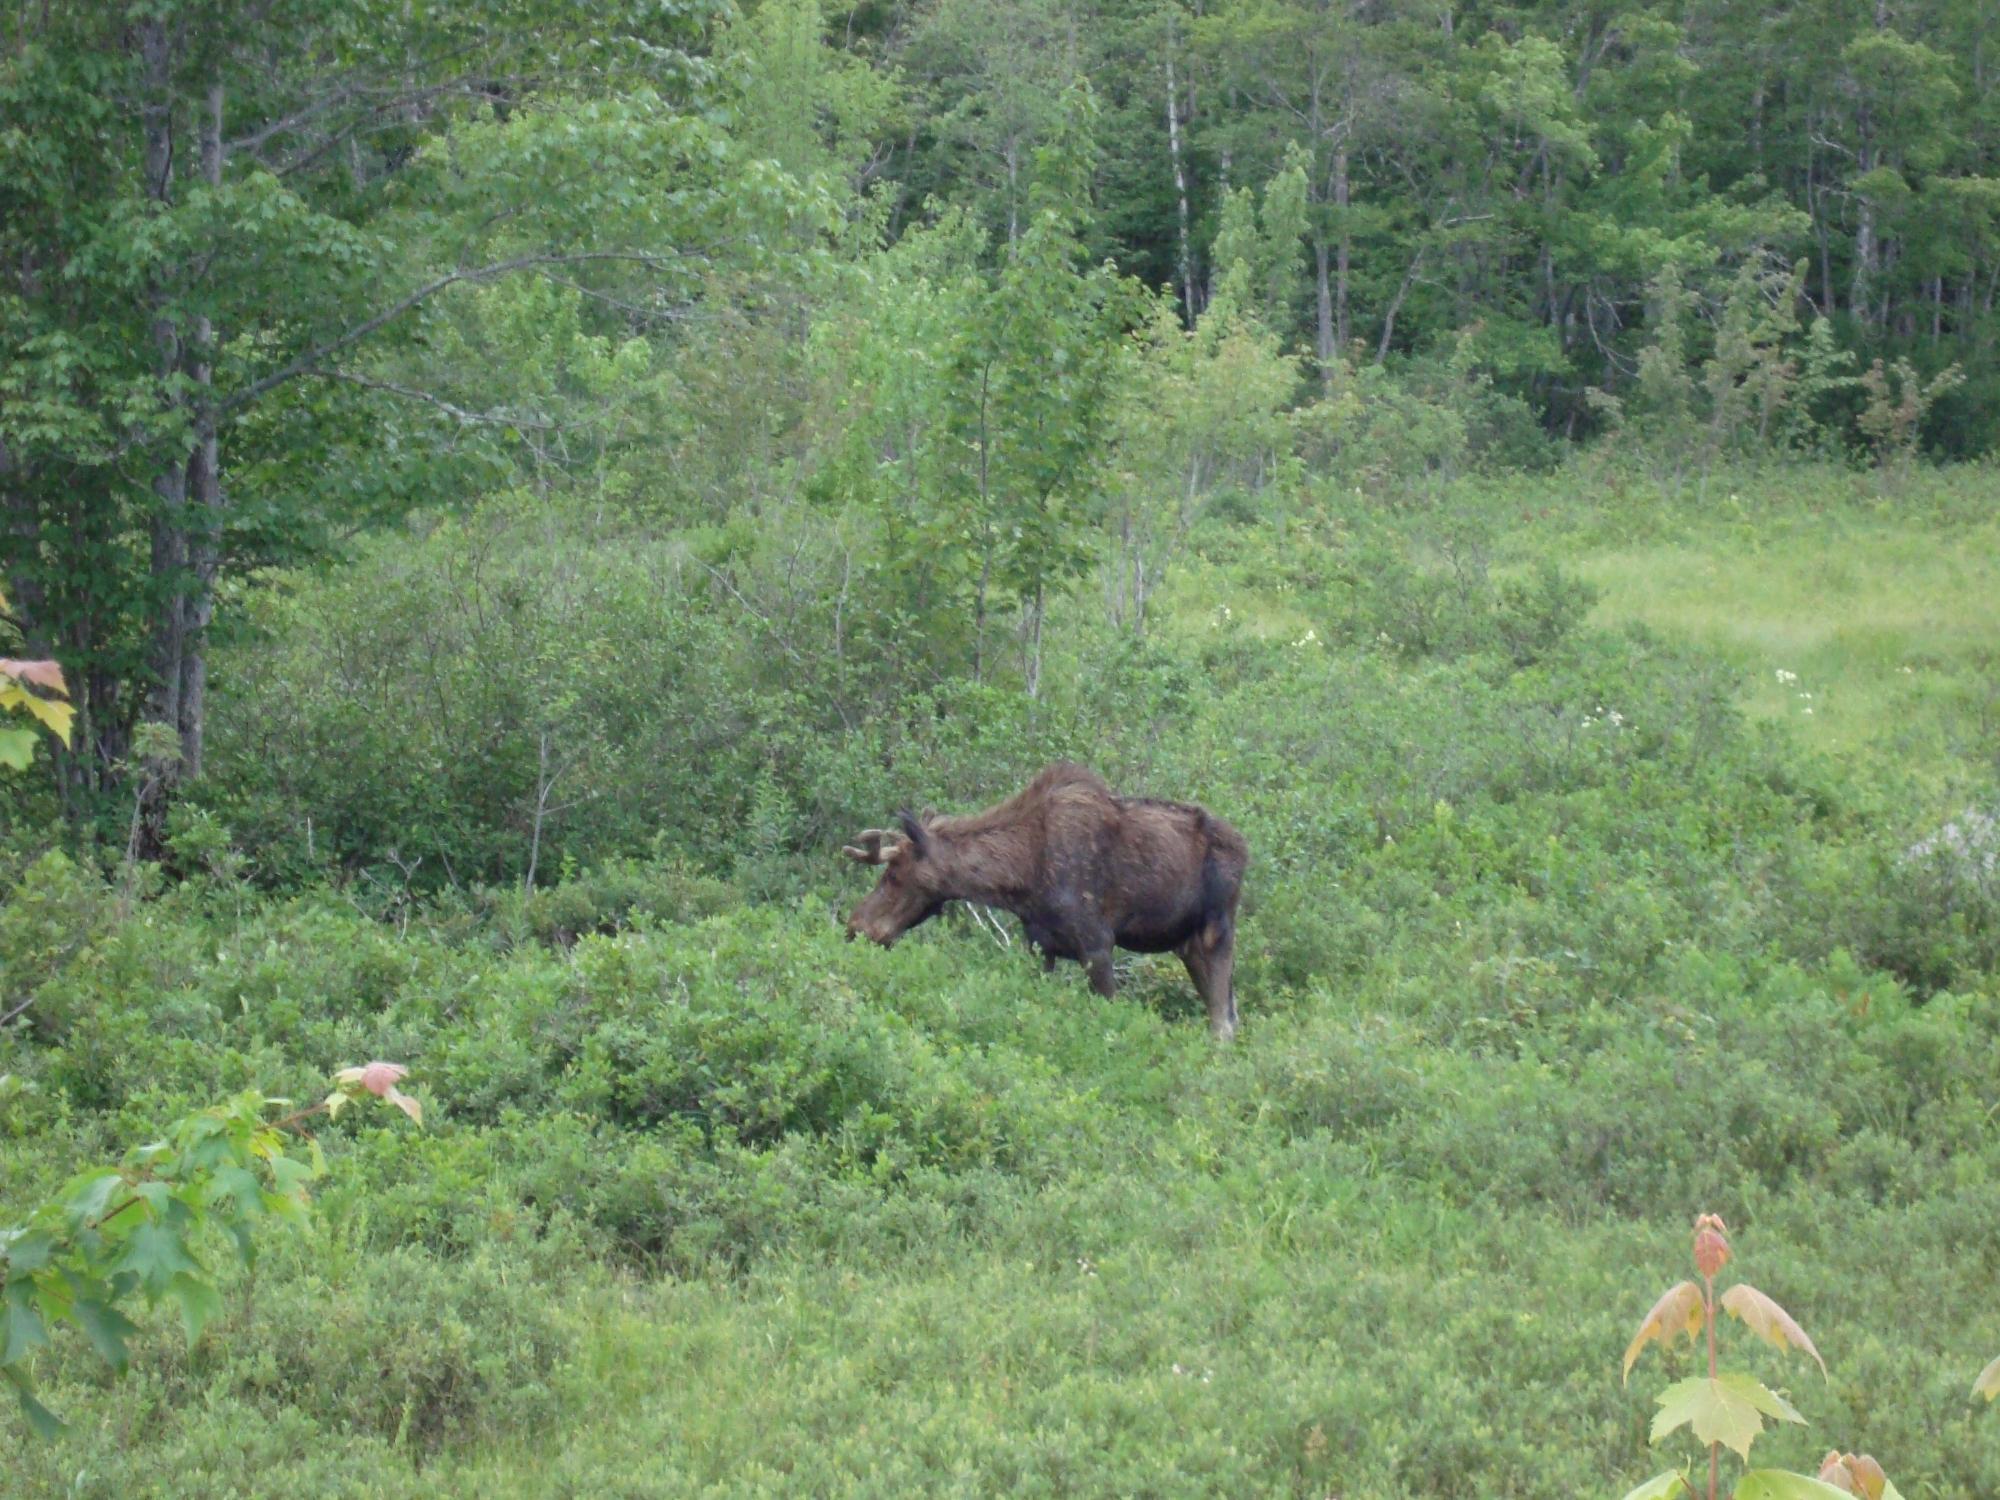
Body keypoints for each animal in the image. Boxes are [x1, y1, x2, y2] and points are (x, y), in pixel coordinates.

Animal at [832, 768, 1240, 1040]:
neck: (1022, 876)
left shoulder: (1097, 944)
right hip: (1186, 944)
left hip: (1217, 933)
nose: (856, 926)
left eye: (894, 874)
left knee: (1223, 1023)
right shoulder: (1040, 945)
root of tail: (1245, 848)